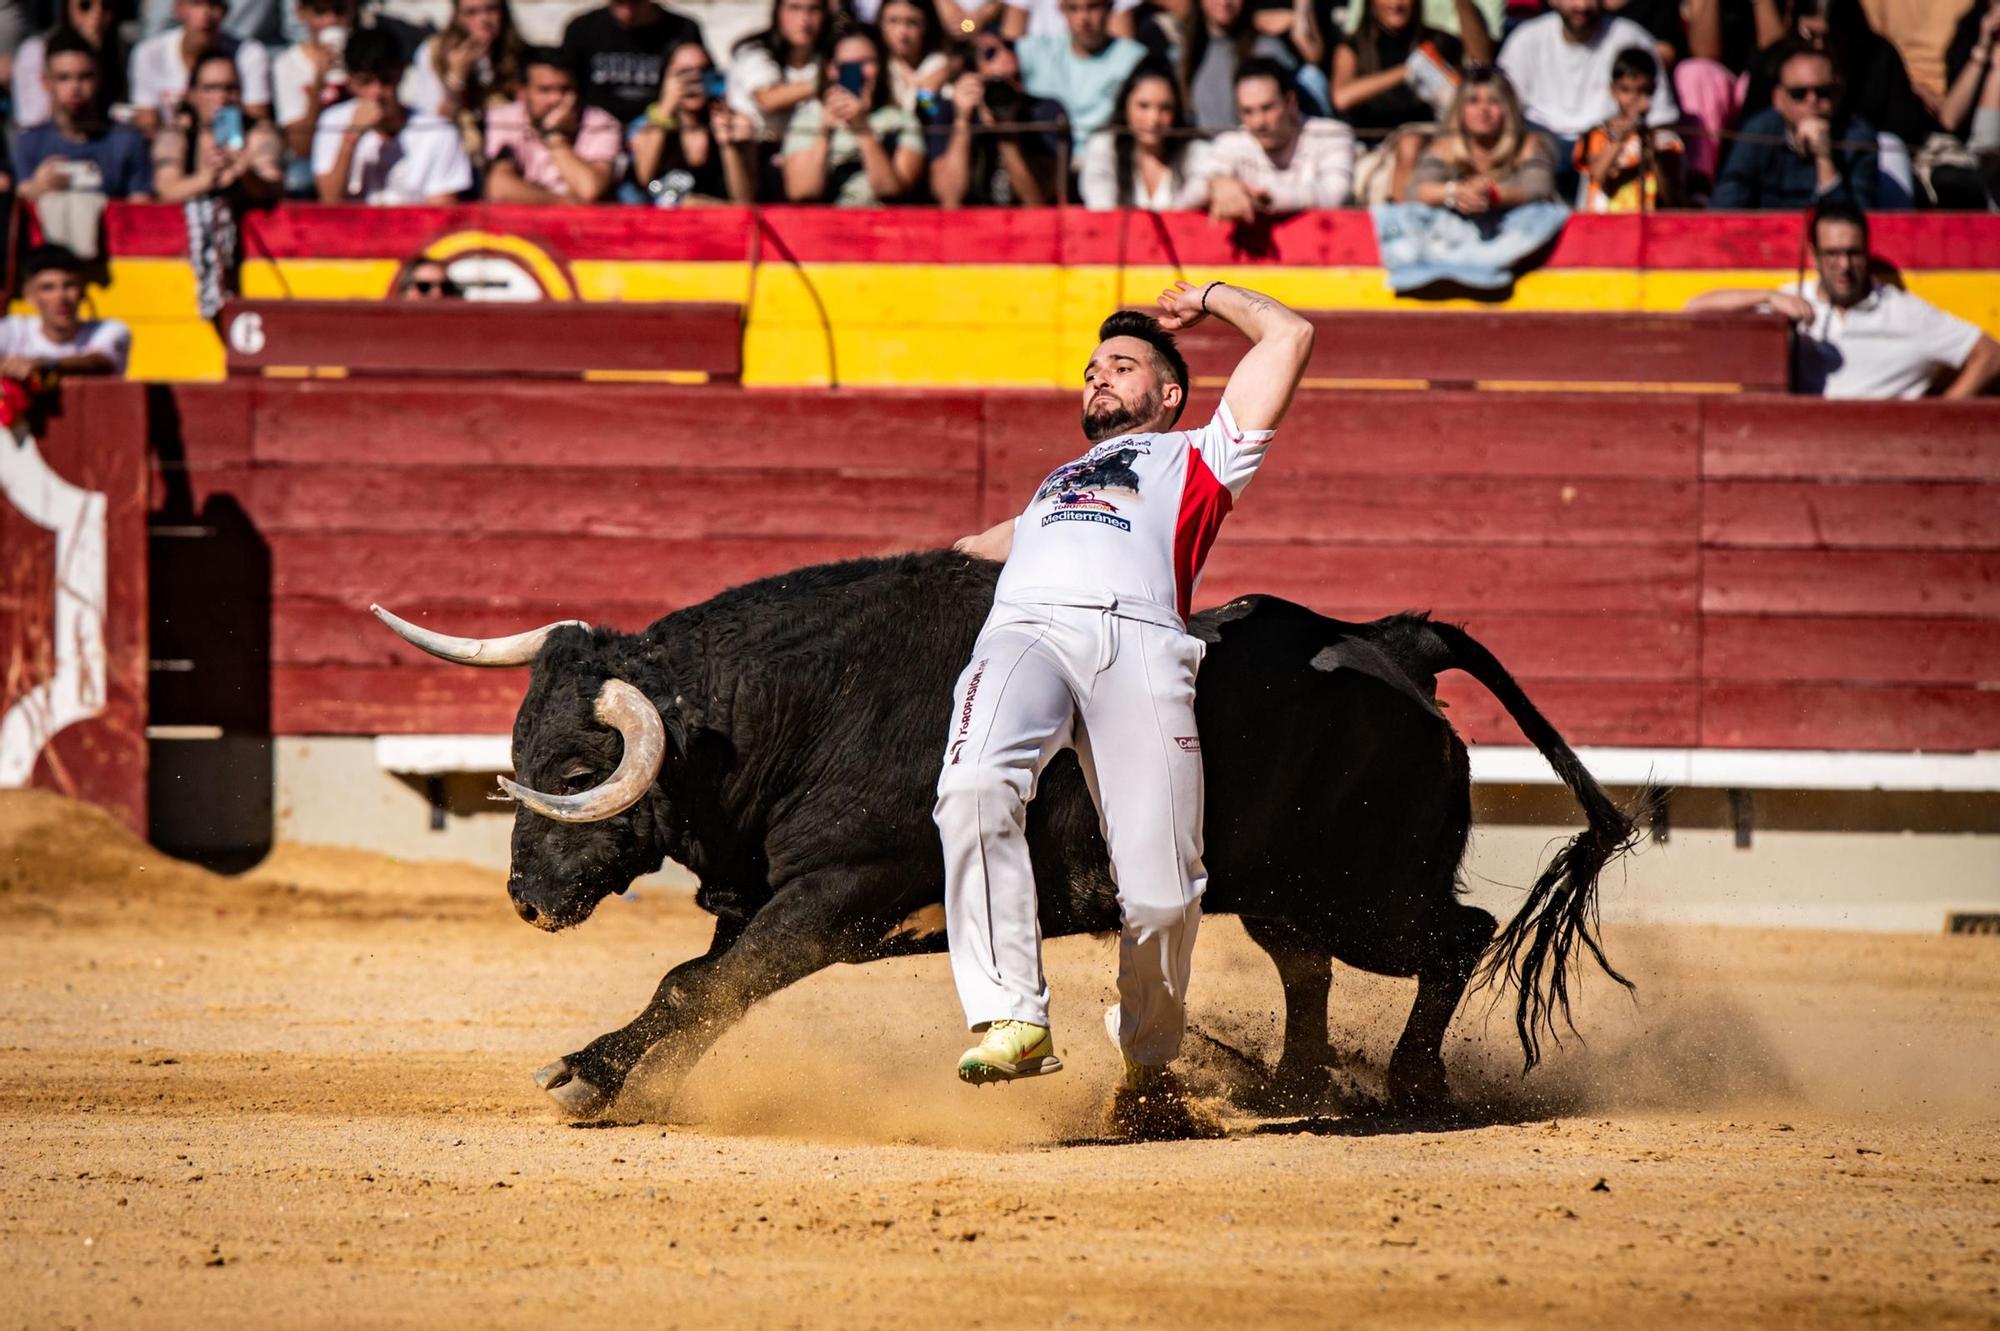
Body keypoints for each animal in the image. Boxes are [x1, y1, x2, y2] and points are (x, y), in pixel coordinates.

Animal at [472, 543, 1640, 1111]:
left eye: (576, 768)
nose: (525, 901)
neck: (801, 707)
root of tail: (1391, 642)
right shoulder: (768, 897)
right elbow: (704, 982)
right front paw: (626, 1079)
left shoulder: (836, 894)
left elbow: (702, 982)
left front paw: (588, 1076)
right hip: (1283, 889)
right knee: (1305, 964)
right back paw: (1292, 1085)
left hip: (1364, 891)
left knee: (1456, 936)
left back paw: (1409, 1084)